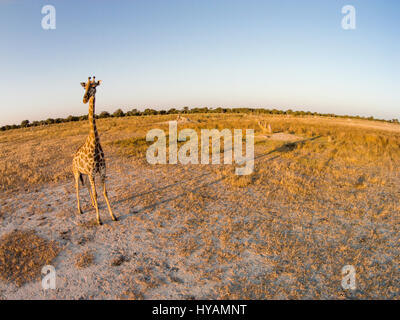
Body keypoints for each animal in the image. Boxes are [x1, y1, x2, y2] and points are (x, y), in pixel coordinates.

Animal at [72, 77, 118, 225]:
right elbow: (97, 193)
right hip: (76, 173)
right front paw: (99, 219)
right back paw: (80, 209)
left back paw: (92, 204)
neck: (95, 144)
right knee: (77, 187)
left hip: (85, 174)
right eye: (84, 87)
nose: (84, 99)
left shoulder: (102, 171)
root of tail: (73, 158)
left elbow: (104, 193)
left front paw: (113, 215)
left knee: (86, 185)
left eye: (94, 86)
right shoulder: (92, 173)